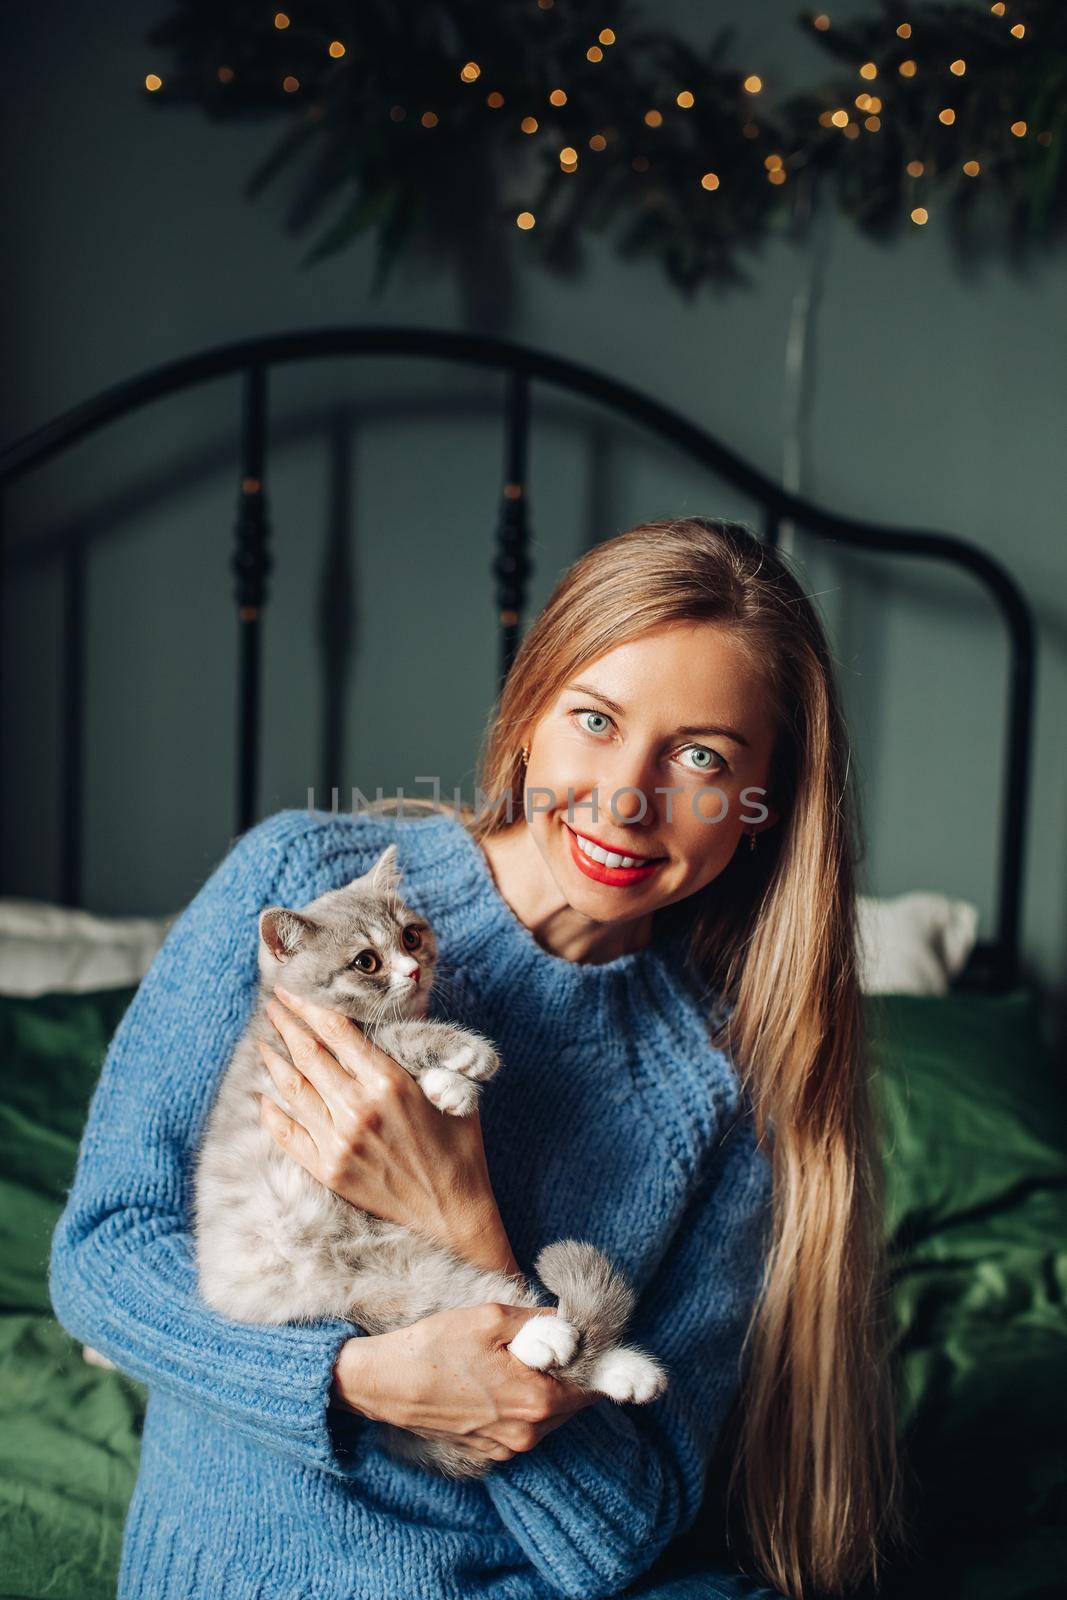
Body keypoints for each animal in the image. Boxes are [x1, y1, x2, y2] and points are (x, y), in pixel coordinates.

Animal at [187, 844, 662, 1478]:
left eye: (411, 936)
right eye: (366, 961)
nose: (413, 970)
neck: (286, 1011)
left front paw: (451, 1088)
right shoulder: (301, 1048)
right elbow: (396, 1040)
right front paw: (464, 1056)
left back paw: (628, 1371)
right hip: (391, 1281)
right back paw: (548, 1340)